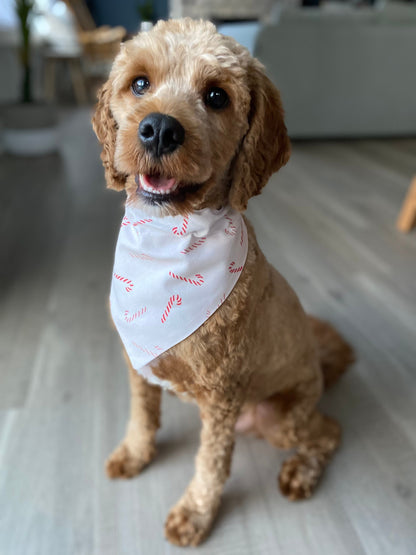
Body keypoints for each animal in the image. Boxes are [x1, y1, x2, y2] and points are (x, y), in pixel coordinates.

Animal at [92, 17, 354, 548]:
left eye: (216, 96)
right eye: (139, 84)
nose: (160, 129)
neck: (169, 240)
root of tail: (319, 367)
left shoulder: (221, 397)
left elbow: (211, 465)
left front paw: (195, 514)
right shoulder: (138, 366)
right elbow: (142, 416)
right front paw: (135, 453)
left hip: (281, 417)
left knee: (329, 431)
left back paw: (301, 472)